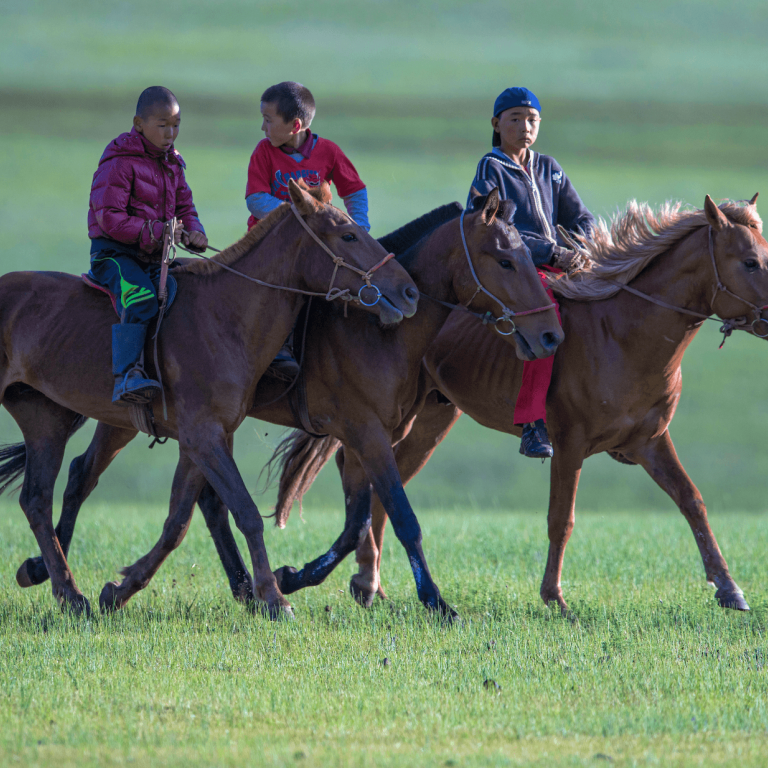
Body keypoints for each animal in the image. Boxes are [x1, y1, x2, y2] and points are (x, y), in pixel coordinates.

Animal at [7, 192, 564, 616]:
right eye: (506, 259)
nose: (551, 334)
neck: (380, 335)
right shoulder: (362, 432)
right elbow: (399, 517)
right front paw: (435, 601)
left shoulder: (363, 438)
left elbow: (355, 524)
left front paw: (292, 577)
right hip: (133, 418)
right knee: (82, 478)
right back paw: (54, 574)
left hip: (126, 419)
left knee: (99, 483)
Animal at [260, 195, 768, 616]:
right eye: (750, 261)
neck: (624, 333)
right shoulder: (569, 443)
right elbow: (561, 519)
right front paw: (555, 597)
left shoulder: (650, 441)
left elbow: (692, 501)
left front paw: (730, 589)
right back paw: (366, 581)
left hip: (426, 421)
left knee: (382, 484)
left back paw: (371, 583)